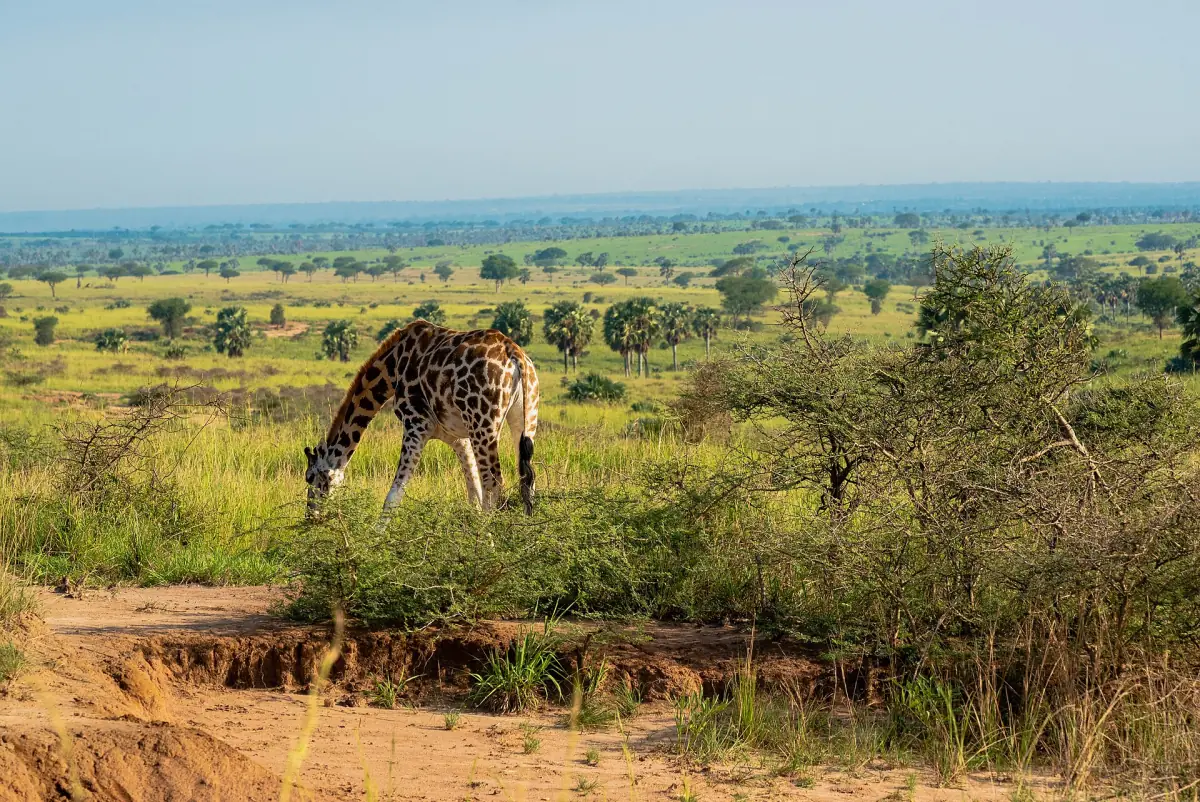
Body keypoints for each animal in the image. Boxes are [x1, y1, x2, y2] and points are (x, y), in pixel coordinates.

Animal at [304, 319, 540, 516]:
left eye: (310, 478)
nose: (311, 516)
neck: (391, 368)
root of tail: (514, 354)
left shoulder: (416, 424)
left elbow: (393, 496)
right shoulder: (457, 438)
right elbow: (474, 494)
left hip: (483, 424)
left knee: (494, 482)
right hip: (525, 418)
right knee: (526, 480)